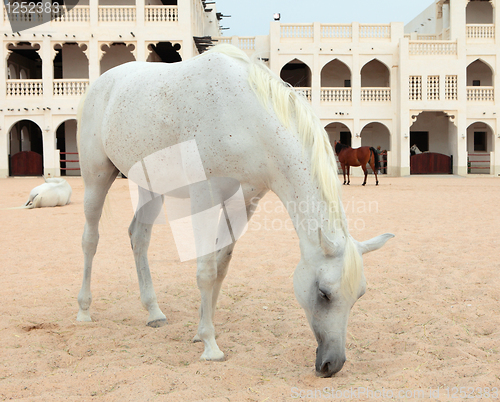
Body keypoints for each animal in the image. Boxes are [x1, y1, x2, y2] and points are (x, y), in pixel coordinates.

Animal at [76, 44, 394, 376]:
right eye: (323, 293)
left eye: (359, 295)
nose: (333, 364)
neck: (246, 119)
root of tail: (101, 84)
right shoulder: (204, 198)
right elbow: (205, 270)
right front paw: (210, 345)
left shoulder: (245, 202)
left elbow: (221, 265)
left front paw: (201, 329)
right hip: (96, 179)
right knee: (90, 239)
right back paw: (84, 310)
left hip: (150, 186)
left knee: (139, 238)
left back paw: (153, 311)